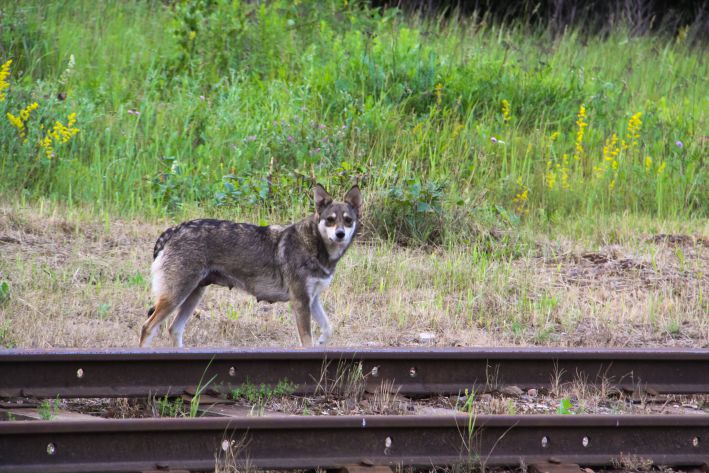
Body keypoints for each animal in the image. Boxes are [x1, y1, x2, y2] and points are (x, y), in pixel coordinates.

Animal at [139, 184, 362, 346]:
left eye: (348, 220)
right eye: (330, 220)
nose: (340, 234)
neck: (314, 246)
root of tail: (173, 230)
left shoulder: (312, 300)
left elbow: (328, 328)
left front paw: (322, 342)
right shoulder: (300, 302)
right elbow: (307, 342)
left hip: (192, 296)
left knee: (174, 330)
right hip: (176, 297)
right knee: (147, 327)